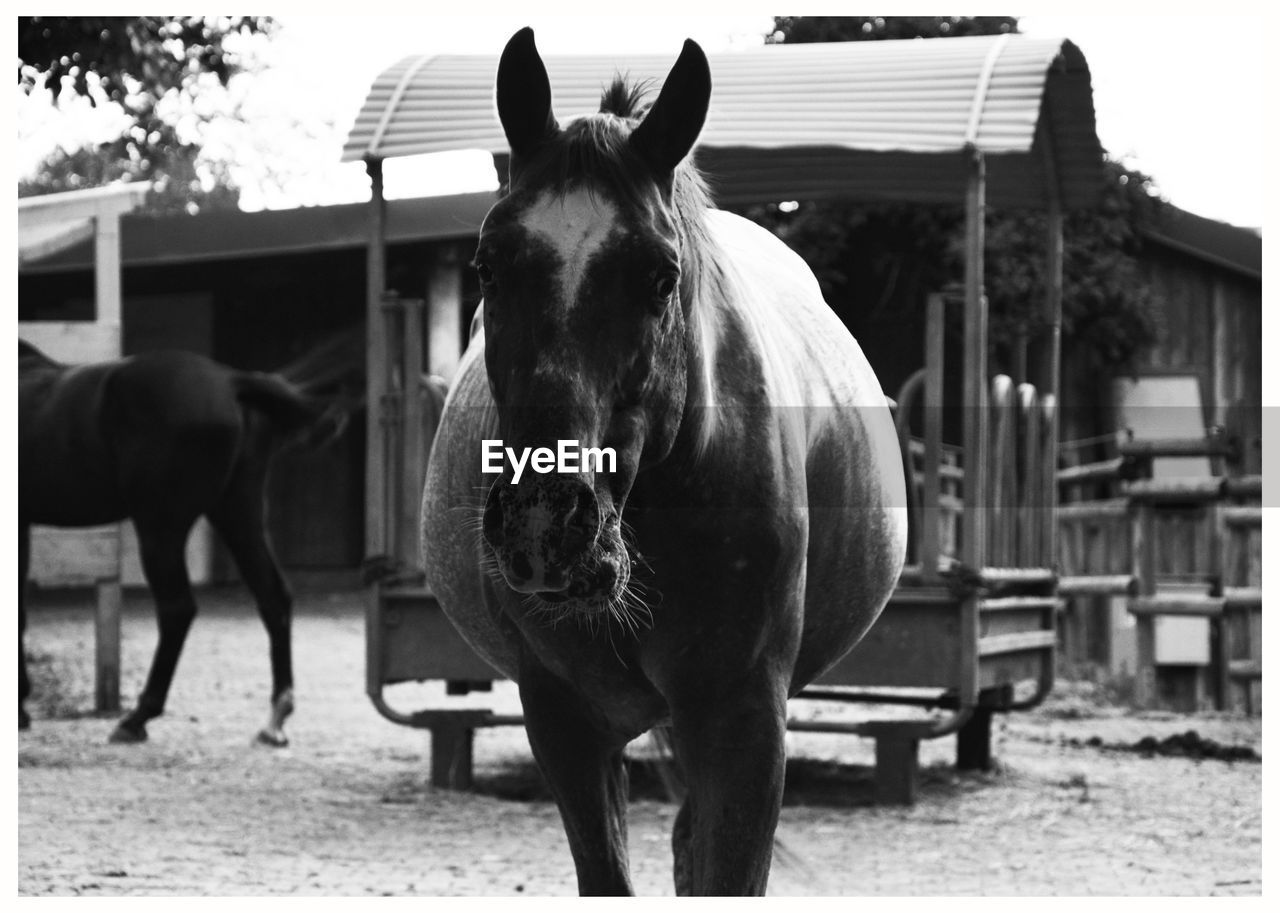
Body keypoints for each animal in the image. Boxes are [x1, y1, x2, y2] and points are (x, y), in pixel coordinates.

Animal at [21, 338, 350, 742]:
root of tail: (229, 381)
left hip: (160, 529)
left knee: (177, 609)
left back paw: (137, 718)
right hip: (238, 514)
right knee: (273, 596)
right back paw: (275, 719)